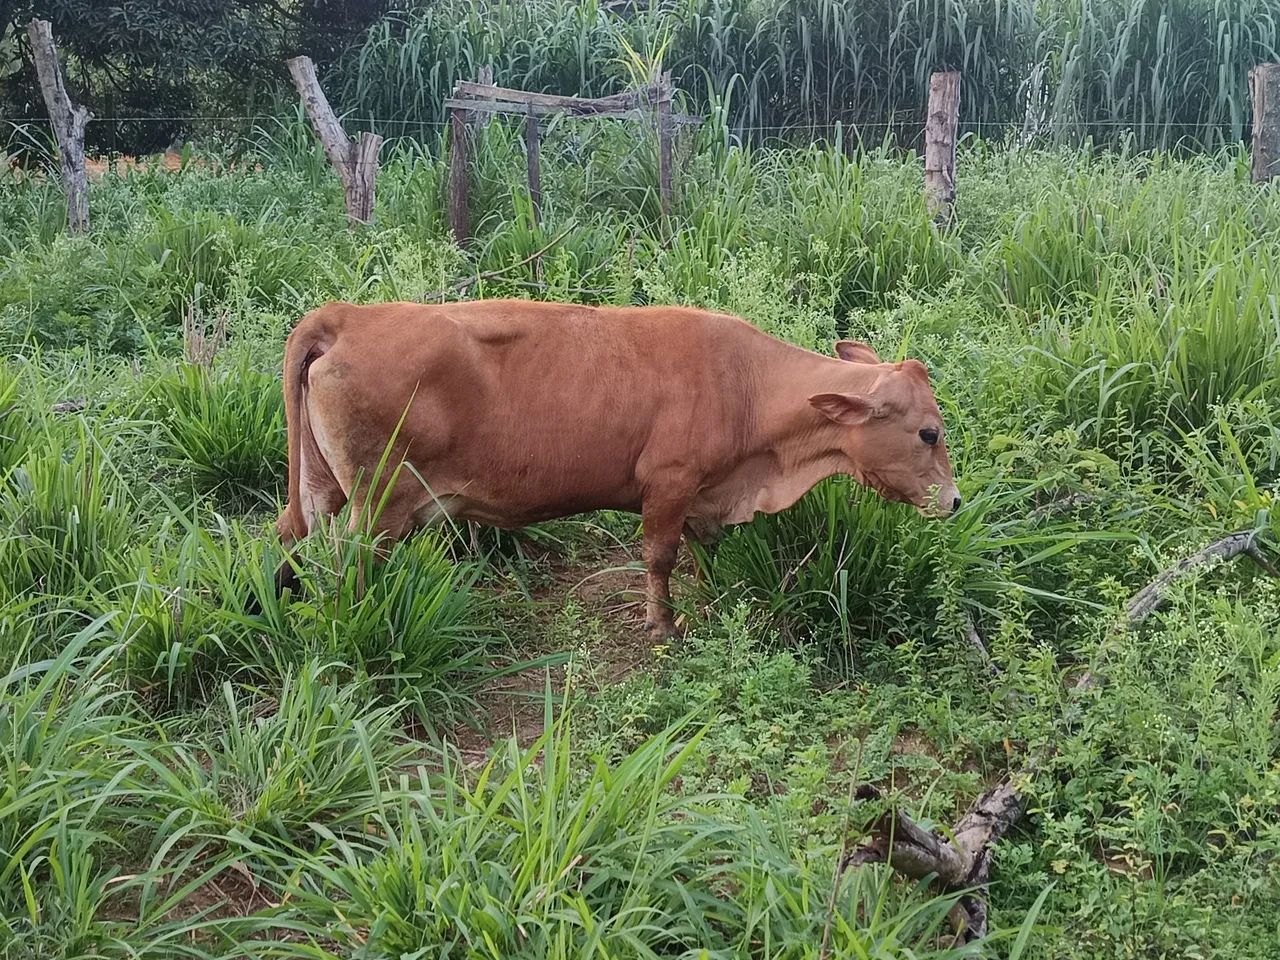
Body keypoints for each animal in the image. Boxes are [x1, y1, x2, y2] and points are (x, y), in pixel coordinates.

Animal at [273, 299, 961, 637]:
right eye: (929, 432)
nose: (955, 502)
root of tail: (350, 314)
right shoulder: (670, 484)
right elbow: (660, 557)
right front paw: (663, 625)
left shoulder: (703, 496)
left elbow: (703, 553)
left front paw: (710, 599)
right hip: (379, 505)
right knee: (348, 564)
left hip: (319, 488)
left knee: (291, 539)